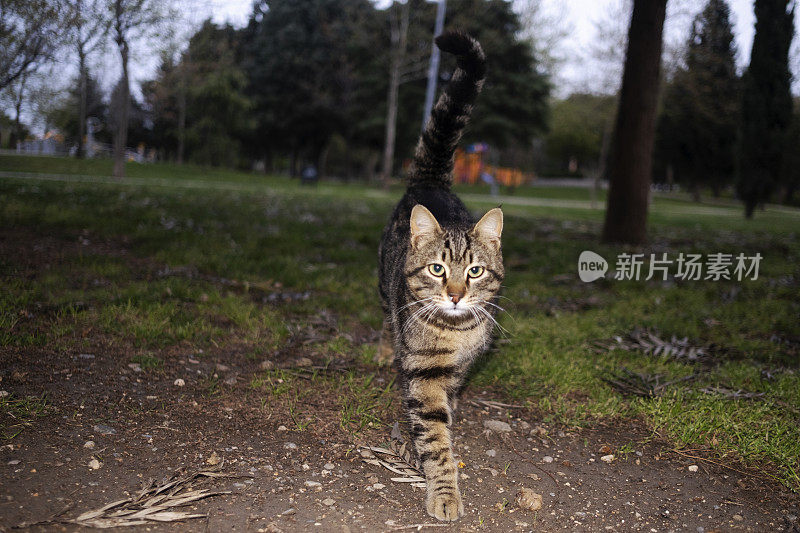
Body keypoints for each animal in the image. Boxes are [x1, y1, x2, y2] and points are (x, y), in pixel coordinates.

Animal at [378, 30, 504, 520]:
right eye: (437, 269)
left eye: (474, 270)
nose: (454, 294)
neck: (457, 333)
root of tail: (430, 183)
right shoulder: (425, 374)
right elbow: (434, 437)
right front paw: (445, 492)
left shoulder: (458, 368)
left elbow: (448, 406)